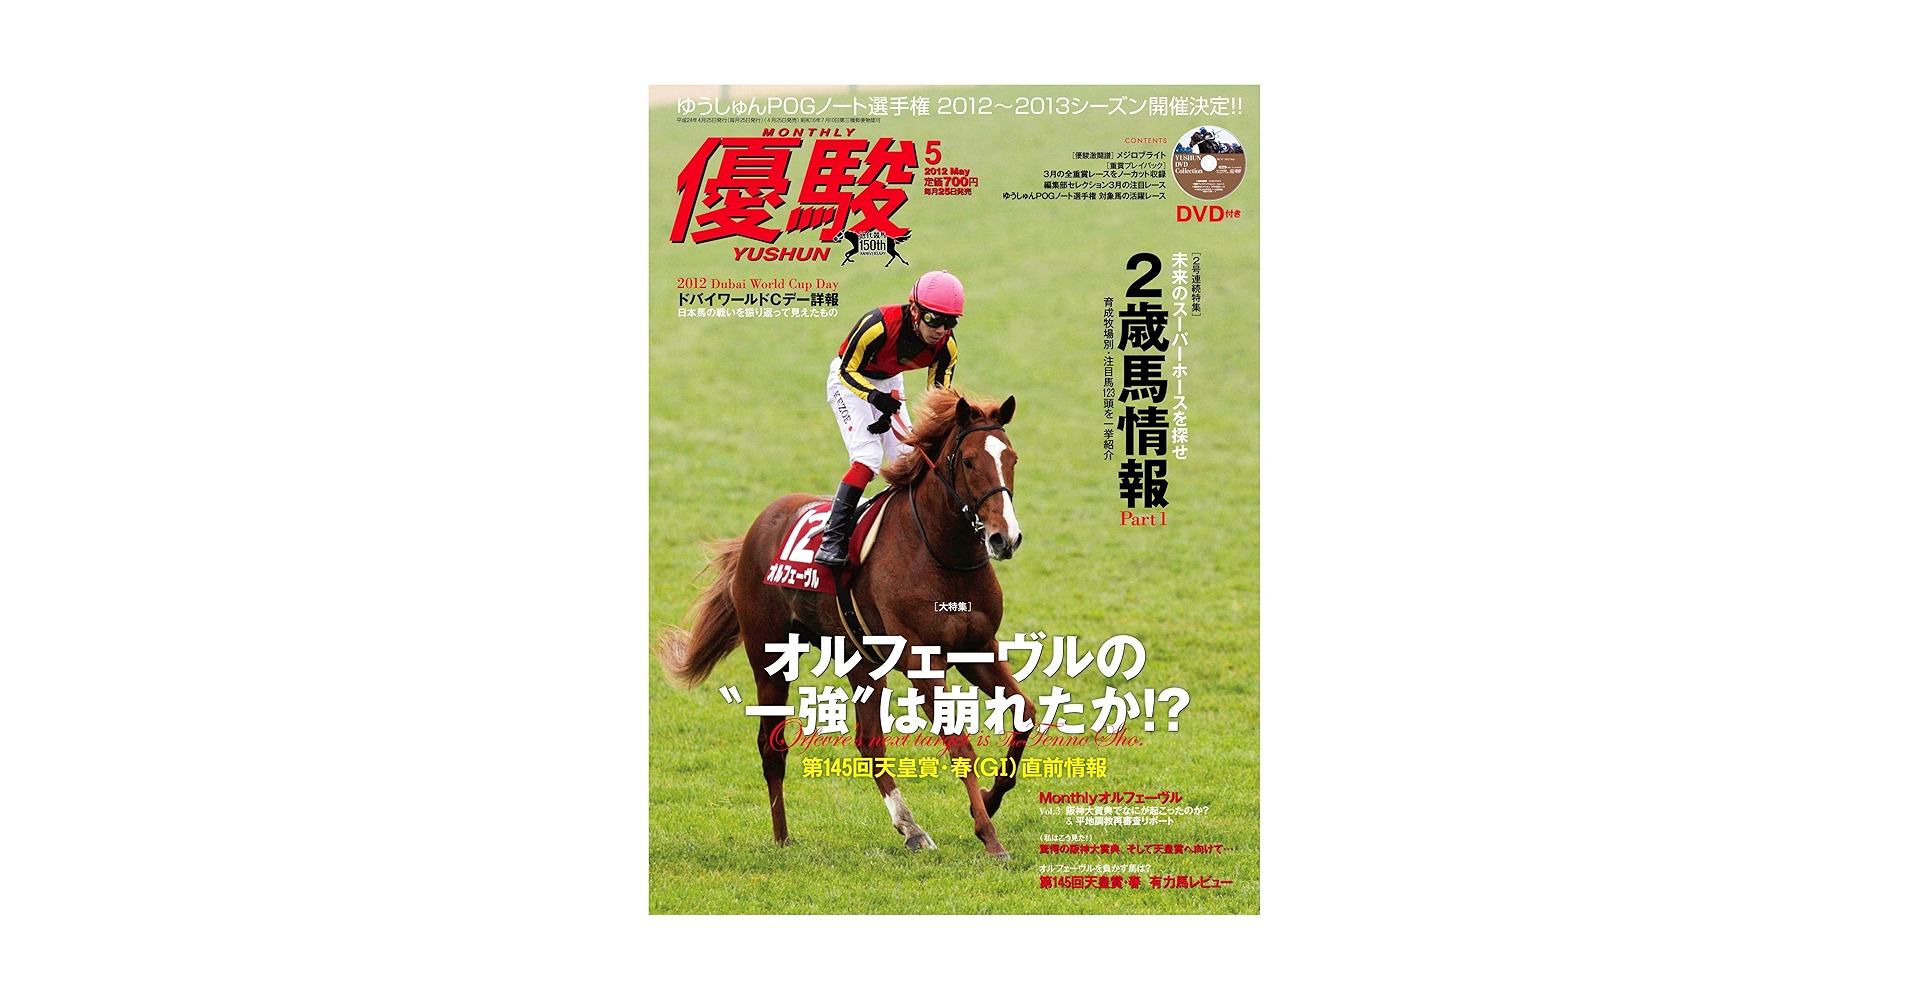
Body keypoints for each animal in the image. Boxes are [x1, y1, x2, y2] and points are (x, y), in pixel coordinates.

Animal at [657, 388, 1031, 858]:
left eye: (1012, 458)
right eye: (967, 461)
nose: (1005, 538)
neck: (941, 554)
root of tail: (757, 527)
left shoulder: (978, 648)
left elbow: (1026, 713)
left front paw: (989, 799)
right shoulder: (922, 661)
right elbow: (960, 743)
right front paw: (990, 837)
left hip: (862, 660)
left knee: (868, 741)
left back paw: (911, 828)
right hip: (769, 655)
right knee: (771, 745)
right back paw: (782, 837)